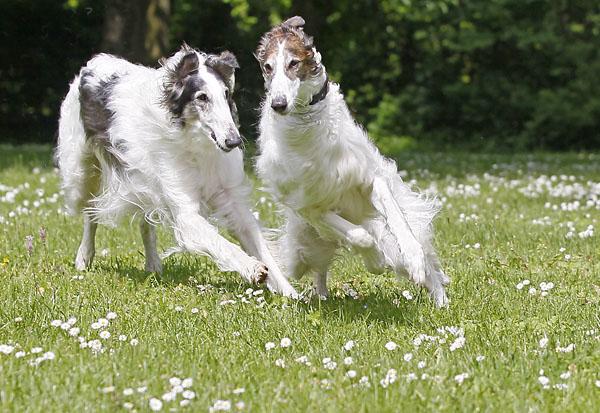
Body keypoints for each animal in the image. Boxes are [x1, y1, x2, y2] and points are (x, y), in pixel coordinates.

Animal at [57, 44, 296, 296]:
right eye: (202, 97)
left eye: (226, 94)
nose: (234, 141)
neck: (198, 146)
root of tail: (92, 65)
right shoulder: (186, 214)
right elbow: (222, 244)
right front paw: (252, 268)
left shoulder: (231, 200)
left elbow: (261, 248)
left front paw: (290, 293)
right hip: (81, 177)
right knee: (90, 212)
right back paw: (84, 257)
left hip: (142, 184)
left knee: (144, 223)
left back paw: (153, 265)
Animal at [254, 16, 450, 306]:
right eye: (268, 67)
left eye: (293, 63)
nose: (278, 104)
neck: (307, 126)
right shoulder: (310, 207)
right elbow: (361, 237)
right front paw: (375, 260)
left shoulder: (369, 179)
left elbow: (398, 221)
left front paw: (413, 257)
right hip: (304, 247)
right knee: (319, 270)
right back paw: (324, 294)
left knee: (427, 268)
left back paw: (440, 300)